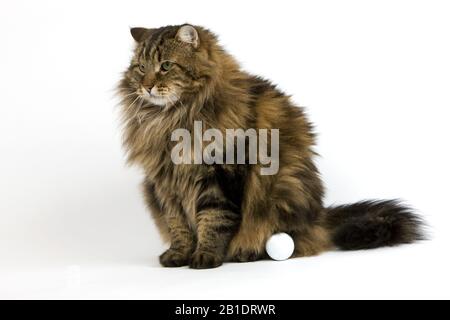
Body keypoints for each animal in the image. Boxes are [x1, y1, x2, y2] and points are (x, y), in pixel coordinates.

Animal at [118, 25, 424, 268]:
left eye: (166, 66)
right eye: (141, 68)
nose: (146, 86)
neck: (171, 118)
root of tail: (319, 216)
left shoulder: (221, 176)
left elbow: (214, 220)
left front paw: (206, 256)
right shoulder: (164, 185)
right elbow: (178, 224)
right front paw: (179, 254)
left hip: (284, 188)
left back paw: (248, 252)